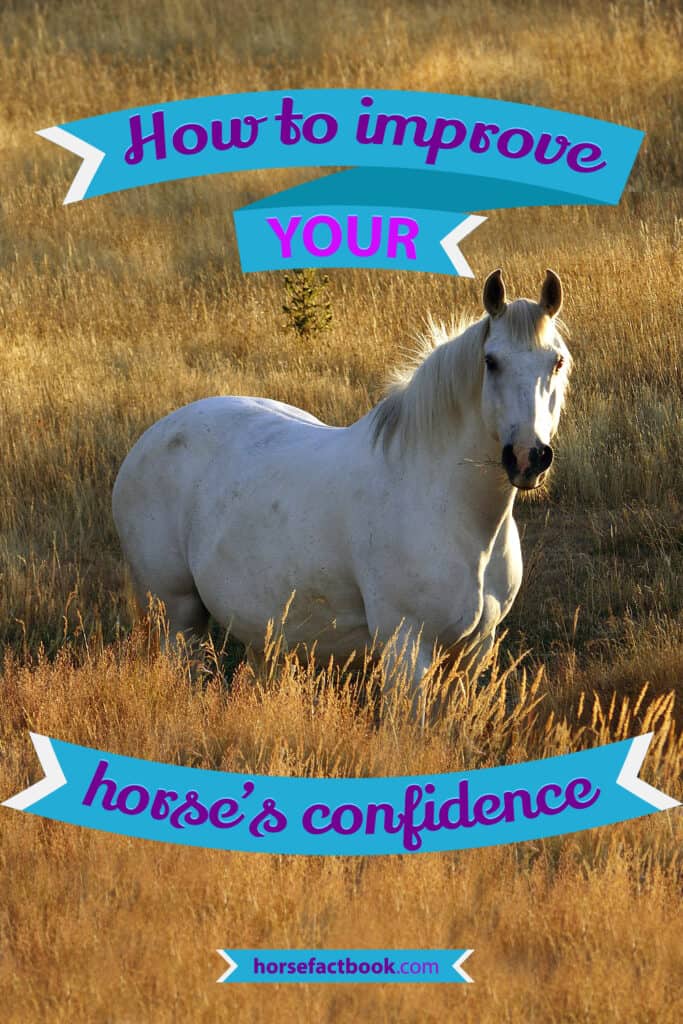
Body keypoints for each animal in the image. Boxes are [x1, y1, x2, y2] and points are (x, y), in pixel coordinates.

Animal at [112, 268, 572, 716]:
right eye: (491, 362)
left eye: (557, 361)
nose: (528, 457)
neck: (449, 509)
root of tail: (150, 438)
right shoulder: (406, 646)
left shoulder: (473, 650)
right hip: (179, 616)